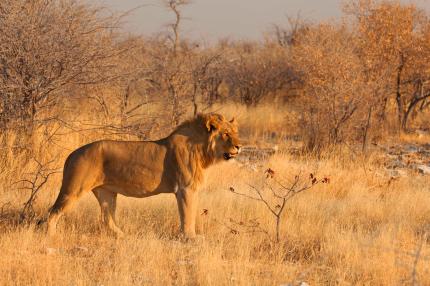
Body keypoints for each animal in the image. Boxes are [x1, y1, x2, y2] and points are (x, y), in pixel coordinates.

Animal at [47, 113, 242, 238]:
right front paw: (190, 238)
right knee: (53, 212)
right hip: (74, 189)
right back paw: (51, 236)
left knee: (106, 219)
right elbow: (188, 215)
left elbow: (187, 214)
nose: (239, 146)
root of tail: (72, 154)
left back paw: (123, 236)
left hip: (106, 192)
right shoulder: (186, 189)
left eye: (236, 133)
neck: (202, 150)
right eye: (226, 134)